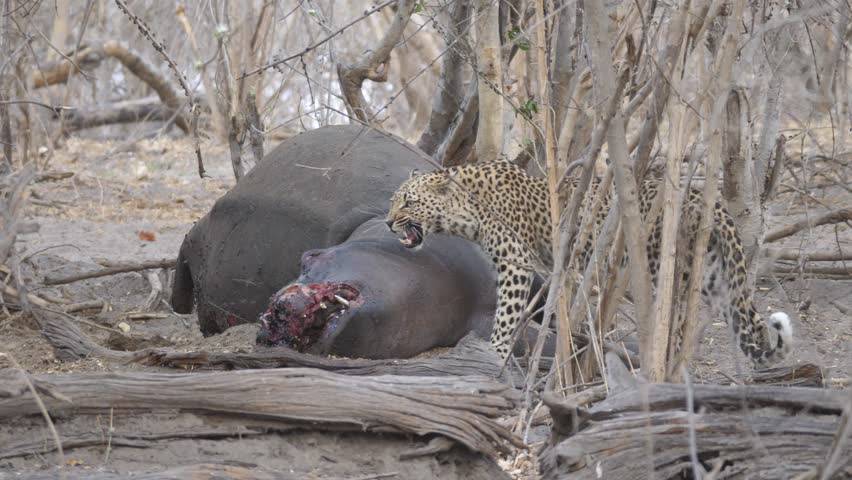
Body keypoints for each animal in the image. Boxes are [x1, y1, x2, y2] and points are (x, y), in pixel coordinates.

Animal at [385, 161, 793, 367]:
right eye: (393, 200)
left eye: (408, 202)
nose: (388, 222)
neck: (464, 210)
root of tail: (708, 200)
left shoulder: (515, 264)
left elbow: (505, 316)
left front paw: (495, 353)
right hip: (712, 274)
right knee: (750, 322)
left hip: (666, 268)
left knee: (675, 322)